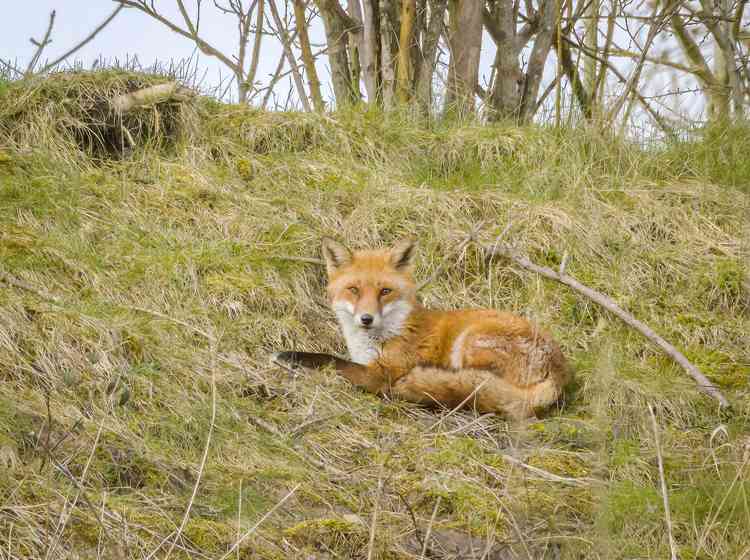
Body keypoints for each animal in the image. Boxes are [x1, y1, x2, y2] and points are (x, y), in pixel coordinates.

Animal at [276, 237, 576, 420]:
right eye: (354, 290)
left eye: (385, 291)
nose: (366, 319)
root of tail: (560, 372)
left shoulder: (381, 372)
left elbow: (331, 361)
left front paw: (290, 356)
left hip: (469, 342)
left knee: (472, 388)